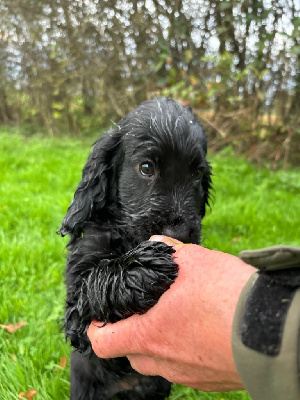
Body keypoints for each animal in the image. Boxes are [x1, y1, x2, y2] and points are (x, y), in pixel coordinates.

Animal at [58, 97, 212, 400]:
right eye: (146, 168)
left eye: (198, 173)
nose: (178, 234)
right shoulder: (75, 313)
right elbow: (95, 281)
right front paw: (140, 268)